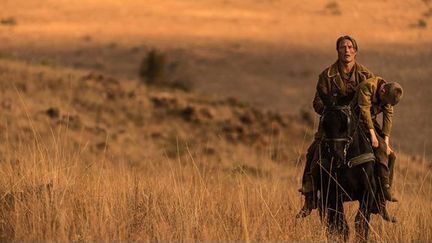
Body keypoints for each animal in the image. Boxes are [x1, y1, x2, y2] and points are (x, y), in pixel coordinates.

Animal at [316, 105, 380, 241]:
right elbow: (341, 224)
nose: (335, 157)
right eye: (324, 123)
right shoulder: (333, 195)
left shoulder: (368, 193)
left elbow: (361, 221)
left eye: (345, 124)